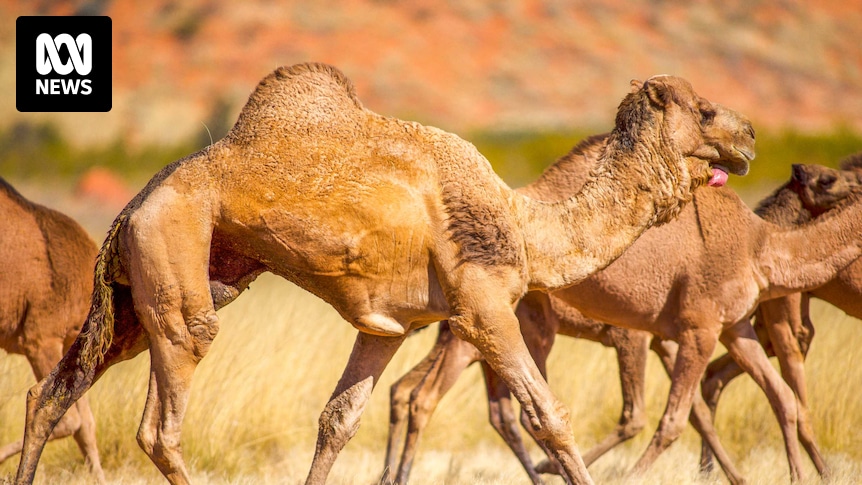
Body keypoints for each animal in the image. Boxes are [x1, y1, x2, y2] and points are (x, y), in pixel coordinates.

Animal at [14, 63, 752, 485]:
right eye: (704, 111)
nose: (747, 138)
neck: (525, 226)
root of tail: (139, 198)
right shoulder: (483, 307)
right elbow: (549, 416)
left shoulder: (389, 325)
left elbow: (337, 420)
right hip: (176, 258)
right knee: (159, 425)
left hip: (146, 290)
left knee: (52, 395)